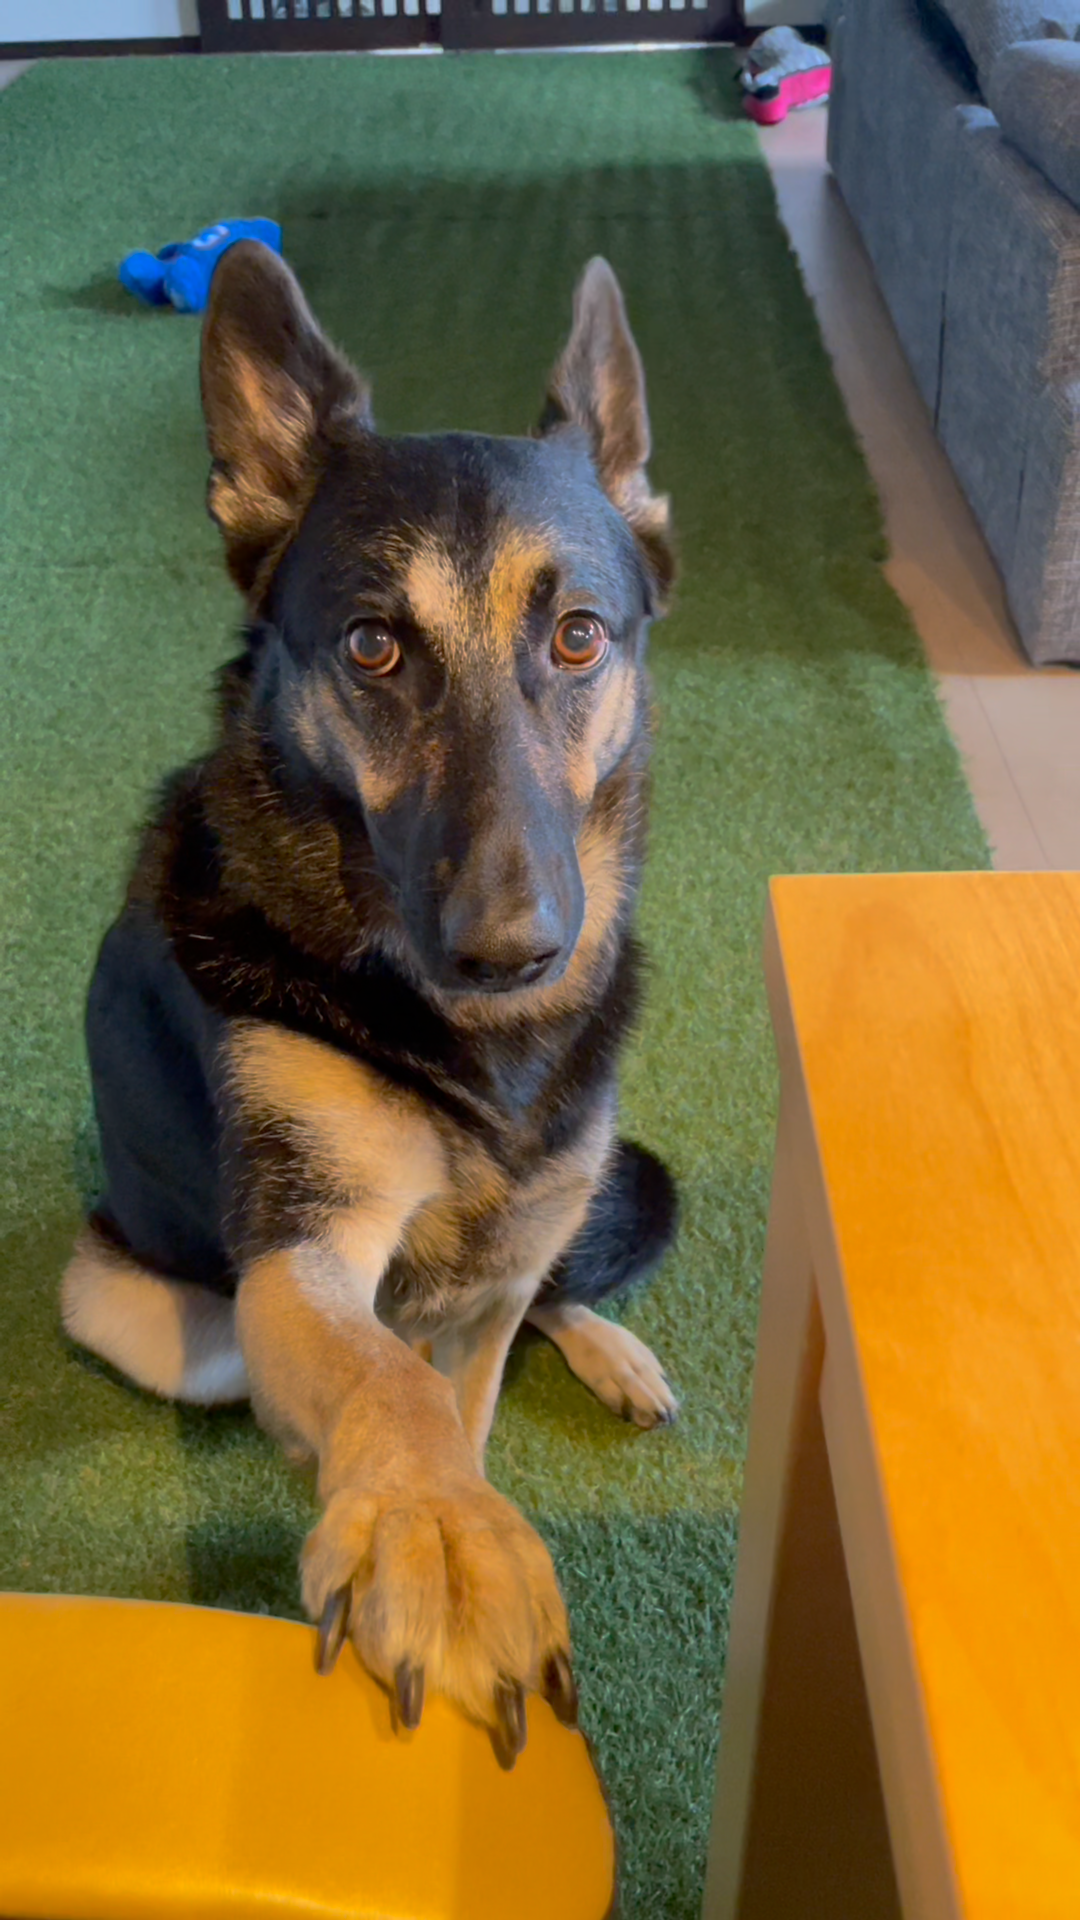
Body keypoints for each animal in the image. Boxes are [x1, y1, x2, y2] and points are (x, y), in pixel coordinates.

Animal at [60, 241, 678, 1768]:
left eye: (580, 638)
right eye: (372, 649)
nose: (513, 953)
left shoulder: (497, 1279)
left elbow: (472, 1382)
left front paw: (451, 1509)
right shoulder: (306, 1255)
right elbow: (393, 1388)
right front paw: (437, 1536)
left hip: (547, 1219)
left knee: (553, 1274)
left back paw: (609, 1347)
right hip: (153, 1312)